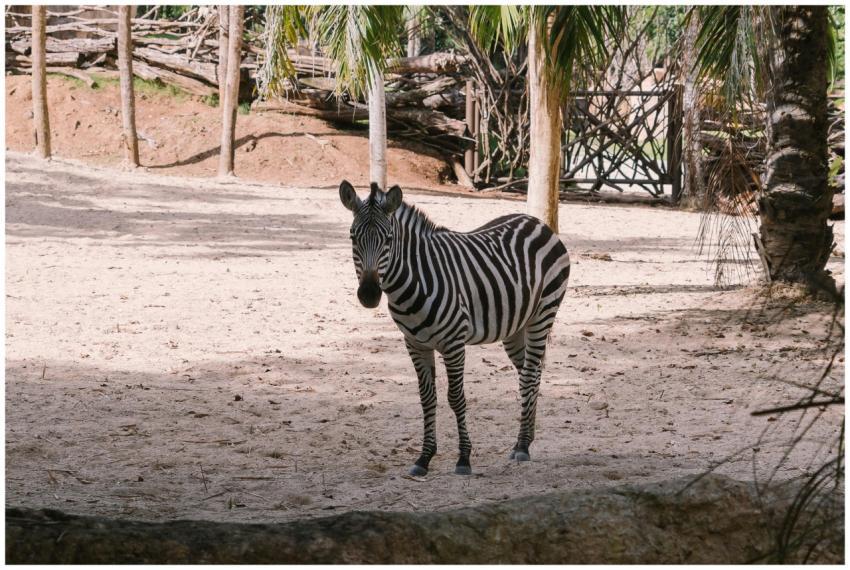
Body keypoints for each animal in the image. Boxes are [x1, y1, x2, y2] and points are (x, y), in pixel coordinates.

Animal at [339, 180, 571, 476]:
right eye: (352, 237)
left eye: (389, 239)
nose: (369, 295)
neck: (413, 282)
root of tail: (535, 221)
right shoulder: (415, 344)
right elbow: (427, 398)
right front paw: (424, 458)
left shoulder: (454, 343)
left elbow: (456, 397)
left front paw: (463, 458)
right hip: (515, 327)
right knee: (530, 374)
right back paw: (525, 440)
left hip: (543, 314)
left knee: (530, 375)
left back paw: (521, 446)